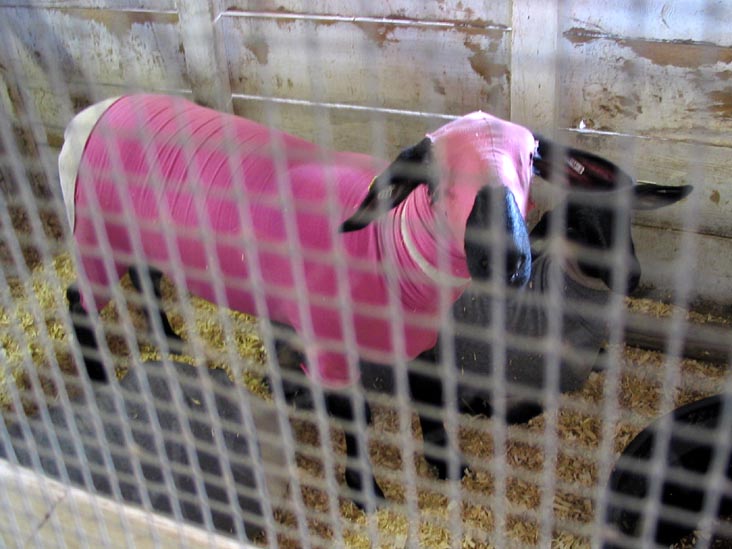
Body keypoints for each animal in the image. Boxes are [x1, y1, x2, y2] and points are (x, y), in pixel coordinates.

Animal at [60, 94, 538, 509]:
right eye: (436, 176)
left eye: (531, 160)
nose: (509, 260)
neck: (388, 250)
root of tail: (89, 115)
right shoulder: (329, 350)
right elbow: (355, 418)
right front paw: (364, 491)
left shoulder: (422, 339)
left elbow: (432, 401)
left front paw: (446, 463)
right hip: (99, 233)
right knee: (79, 301)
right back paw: (99, 379)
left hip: (144, 238)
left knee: (146, 278)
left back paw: (169, 340)